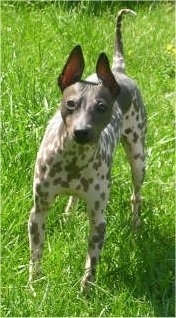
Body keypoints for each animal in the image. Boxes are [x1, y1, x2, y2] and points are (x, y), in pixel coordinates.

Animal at [28, 8, 147, 294]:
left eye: (101, 107)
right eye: (71, 104)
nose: (81, 132)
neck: (73, 161)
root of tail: (118, 70)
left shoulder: (98, 220)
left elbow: (91, 262)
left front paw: (85, 293)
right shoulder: (37, 212)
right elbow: (36, 255)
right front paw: (34, 286)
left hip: (138, 158)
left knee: (136, 196)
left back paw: (135, 227)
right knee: (73, 198)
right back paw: (68, 214)